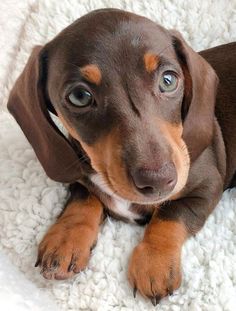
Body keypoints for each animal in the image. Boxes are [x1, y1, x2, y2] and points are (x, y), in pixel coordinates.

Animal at [6, 7, 236, 308]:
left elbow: (171, 214)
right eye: (79, 96)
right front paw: (66, 238)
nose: (159, 181)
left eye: (168, 80)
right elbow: (84, 195)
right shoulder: (78, 167)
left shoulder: (206, 186)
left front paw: (154, 262)